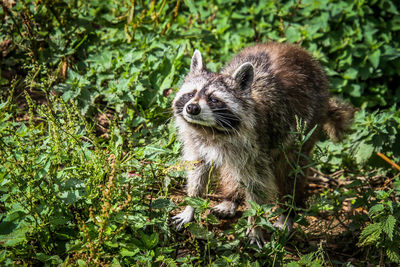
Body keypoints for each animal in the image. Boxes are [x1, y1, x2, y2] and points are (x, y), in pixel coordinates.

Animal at [172, 42, 354, 247]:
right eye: (191, 93)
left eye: (213, 99)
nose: (192, 108)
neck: (212, 132)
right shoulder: (197, 141)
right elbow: (197, 171)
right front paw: (191, 205)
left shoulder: (257, 146)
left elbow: (257, 186)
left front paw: (254, 225)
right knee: (232, 170)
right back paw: (230, 199)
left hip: (310, 123)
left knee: (291, 172)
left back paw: (287, 213)